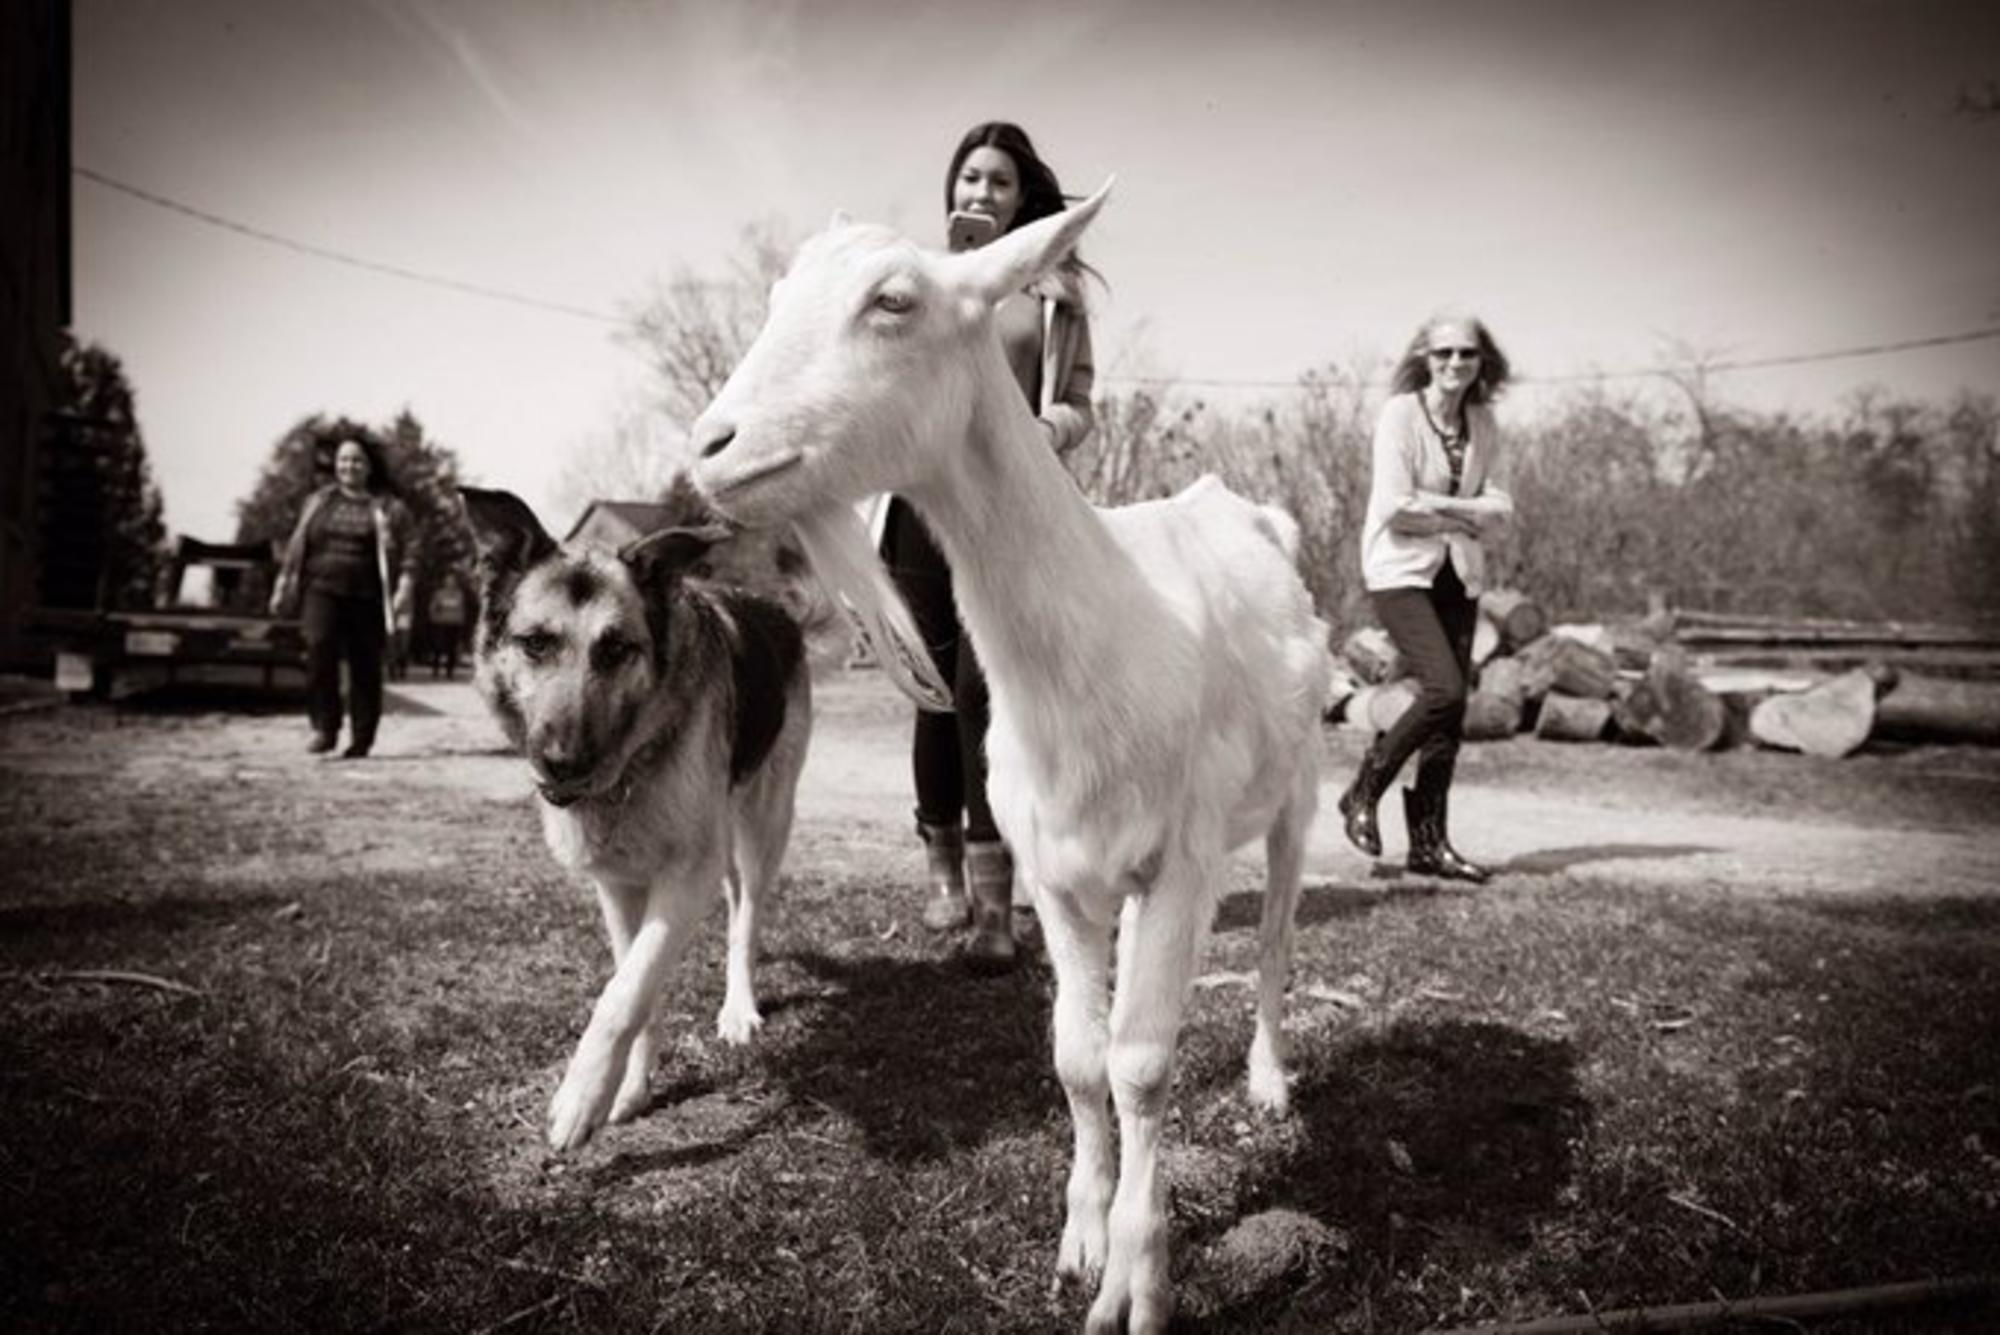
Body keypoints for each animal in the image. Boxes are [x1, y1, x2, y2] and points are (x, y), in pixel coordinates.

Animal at [460, 485, 812, 1151]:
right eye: (535, 643)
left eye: (617, 649)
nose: (563, 763)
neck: (634, 762)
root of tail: (770, 606)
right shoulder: (620, 885)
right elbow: (637, 984)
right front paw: (628, 1088)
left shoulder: (687, 875)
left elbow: (621, 995)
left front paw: (580, 1097)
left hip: (762, 826)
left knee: (745, 920)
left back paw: (739, 1008)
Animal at [688, 187, 1328, 1335]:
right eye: (775, 296)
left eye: (893, 301)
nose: (711, 447)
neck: (1110, 635)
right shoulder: (1056, 868)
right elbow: (1081, 1059)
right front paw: (1083, 1241)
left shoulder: (1185, 856)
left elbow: (1145, 1064)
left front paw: (1139, 1284)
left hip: (1294, 797)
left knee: (1272, 945)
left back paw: (1267, 1080)